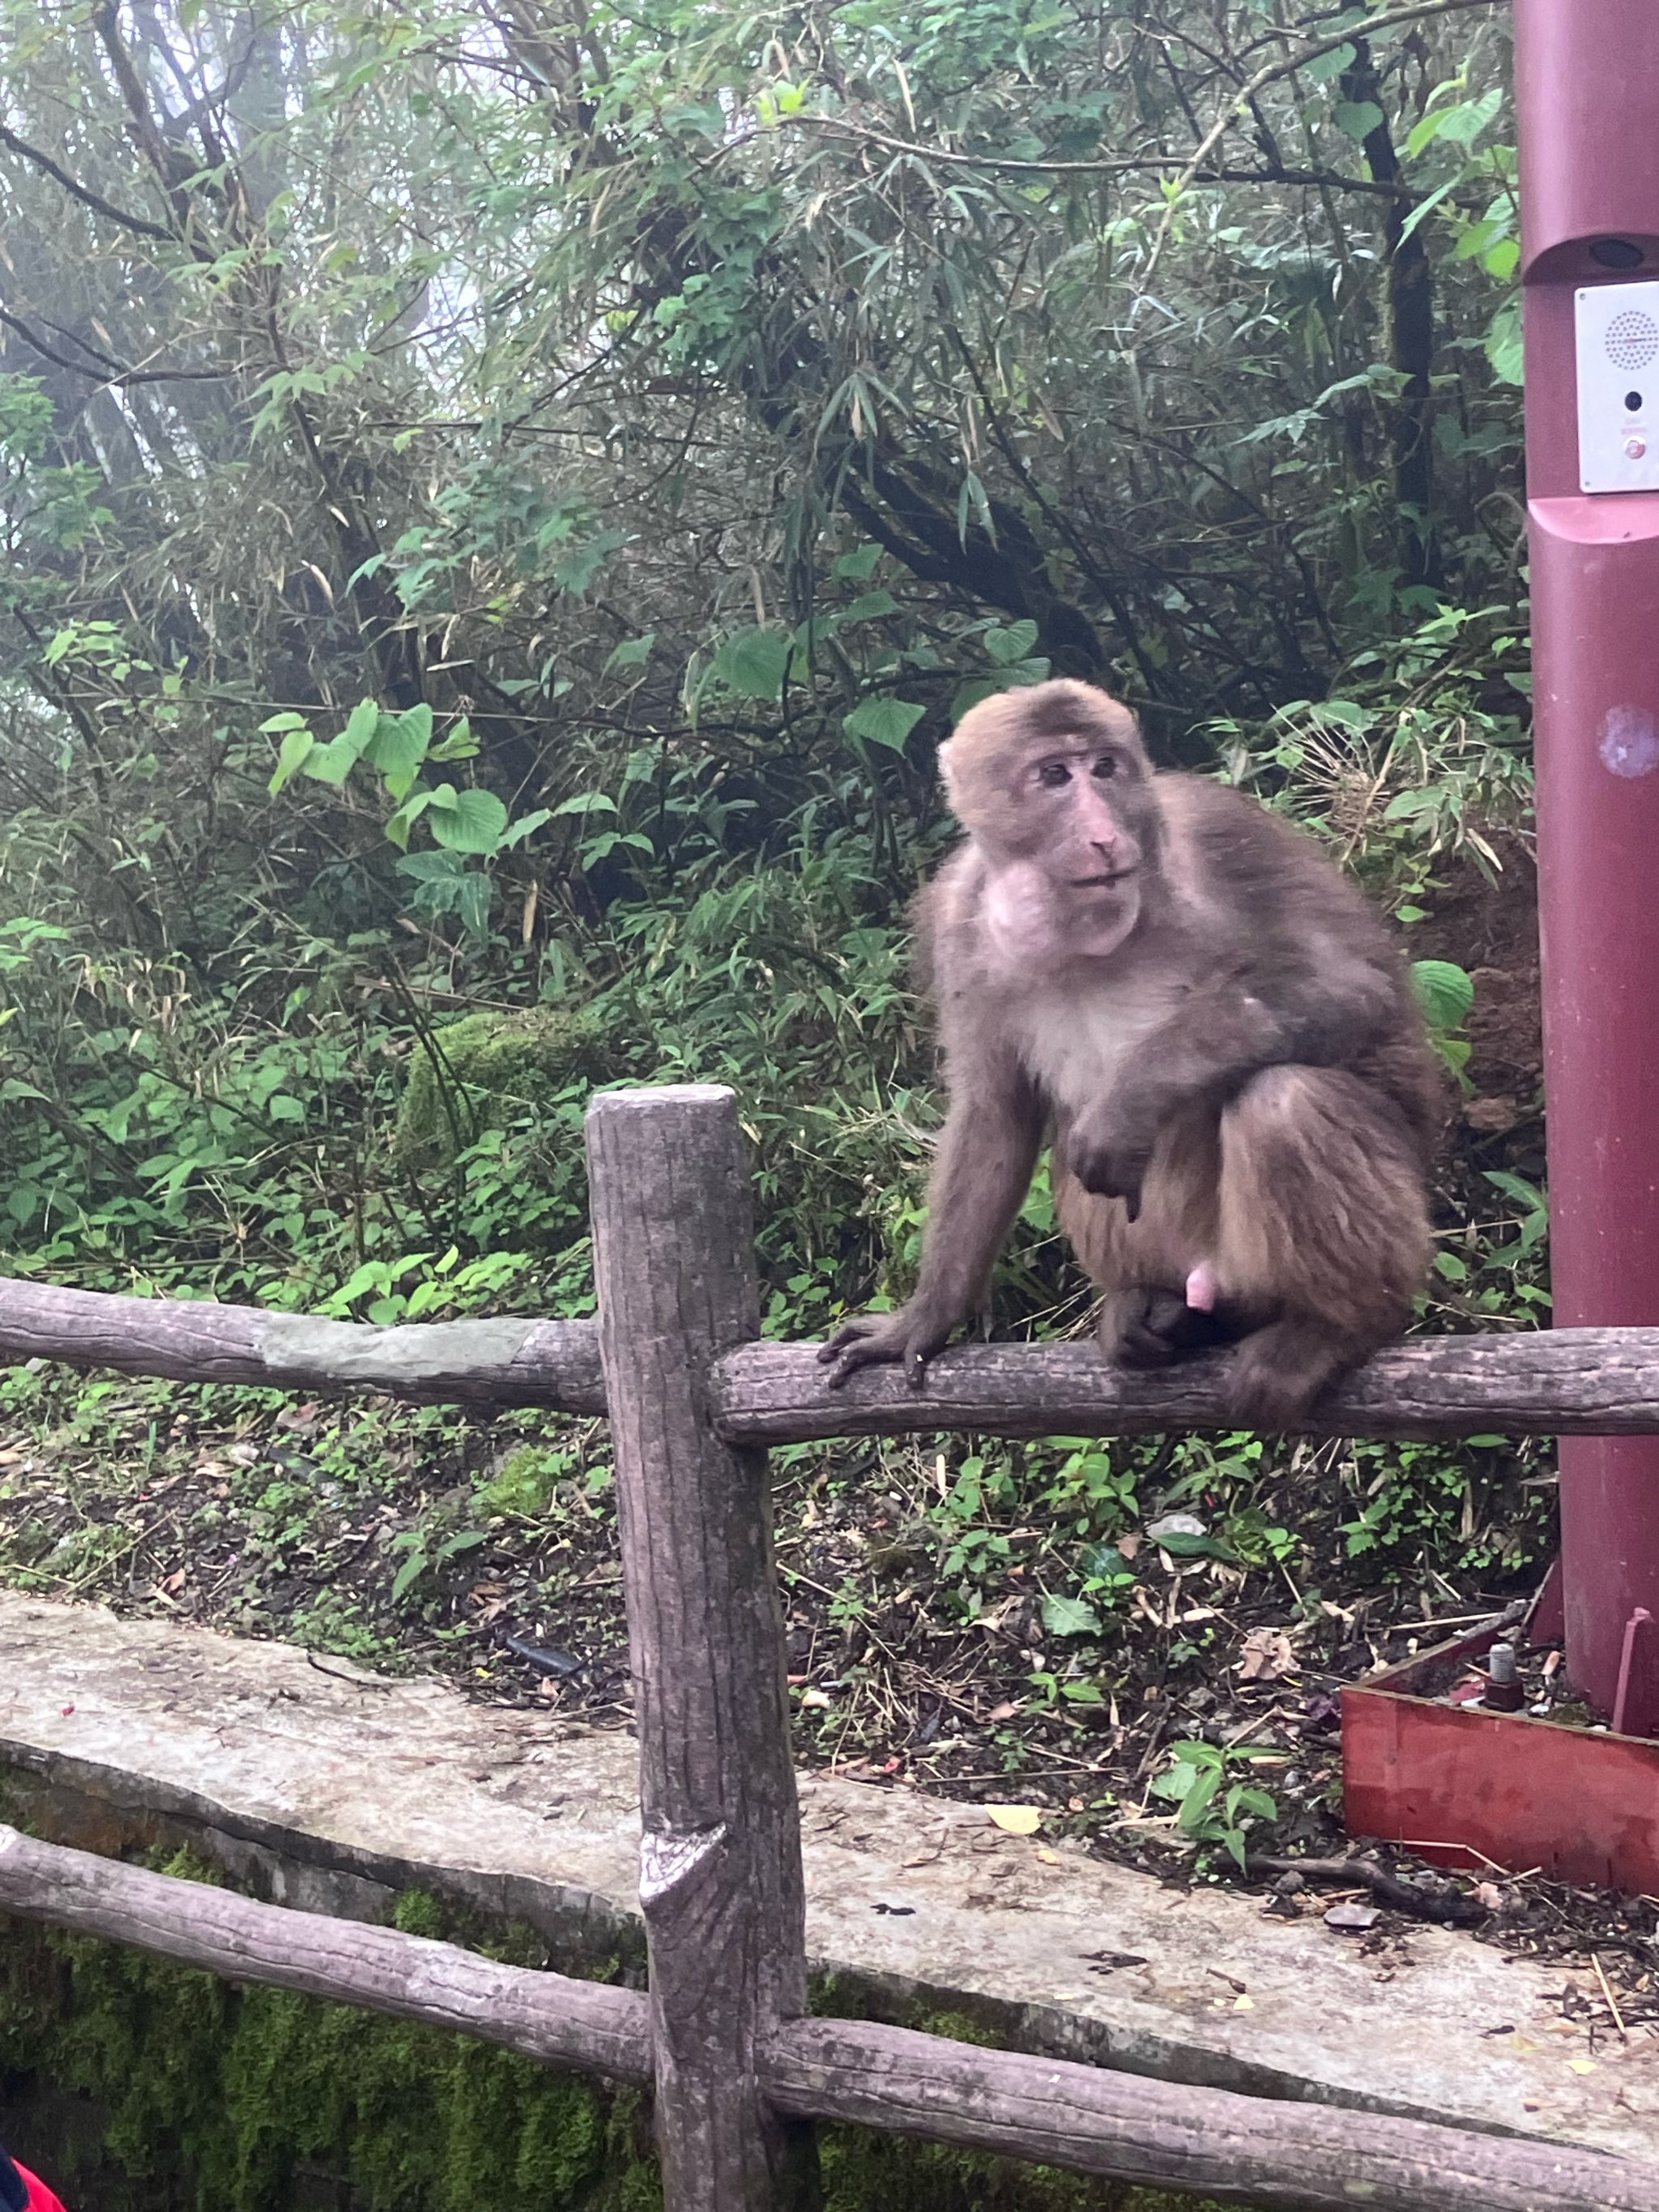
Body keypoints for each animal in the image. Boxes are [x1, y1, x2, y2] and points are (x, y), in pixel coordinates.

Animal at [818, 677, 1442, 1433]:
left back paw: (1337, 1328)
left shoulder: (1213, 837)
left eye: (1105, 767)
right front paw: (923, 1320)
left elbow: (1354, 989)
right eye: (1055, 775)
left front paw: (1130, 1100)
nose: (1104, 834)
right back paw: (1154, 1311)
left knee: (1284, 1099)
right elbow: (996, 1114)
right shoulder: (956, 921)